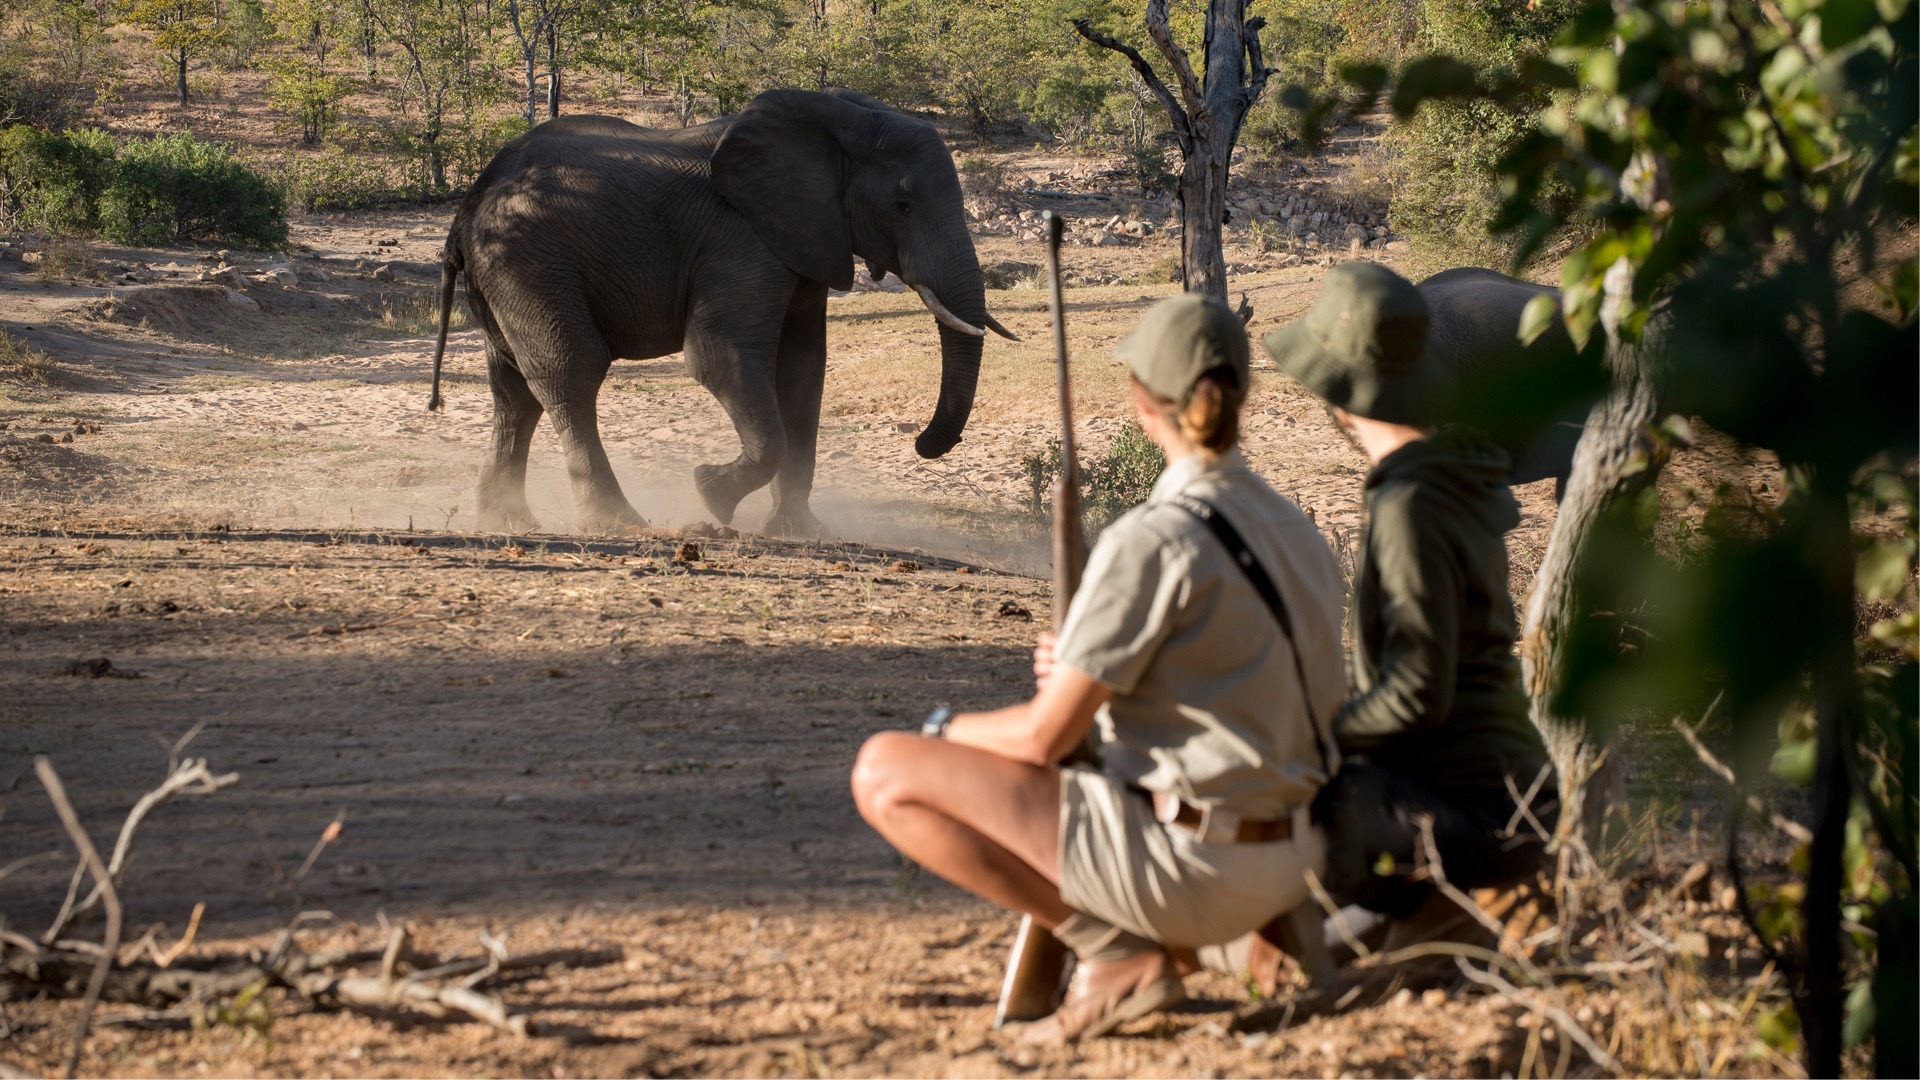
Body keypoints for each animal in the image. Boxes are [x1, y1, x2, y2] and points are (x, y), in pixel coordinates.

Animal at [426, 88, 1017, 536]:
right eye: (902, 205)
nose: (921, 443)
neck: (836, 119)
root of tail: (467, 207)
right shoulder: (742, 241)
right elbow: (718, 356)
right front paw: (709, 495)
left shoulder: (803, 240)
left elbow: (802, 368)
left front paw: (800, 532)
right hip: (528, 261)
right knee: (570, 371)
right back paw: (618, 524)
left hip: (504, 273)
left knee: (513, 391)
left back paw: (507, 523)